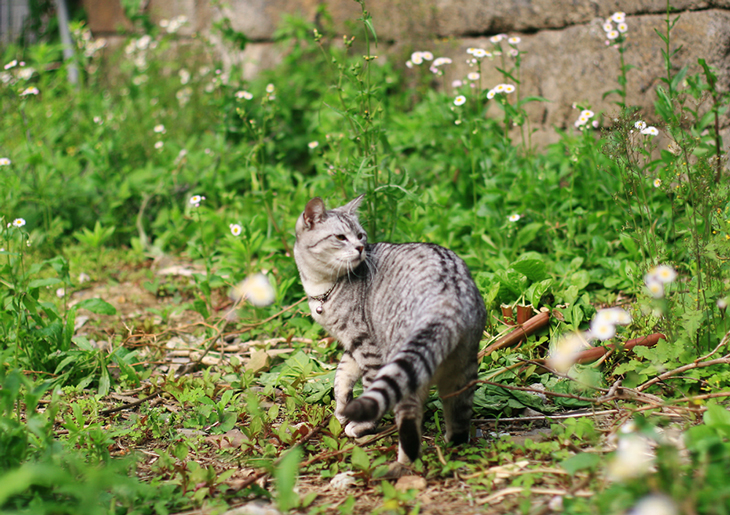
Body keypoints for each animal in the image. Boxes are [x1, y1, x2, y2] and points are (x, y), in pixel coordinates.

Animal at [290, 197, 484, 464]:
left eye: (360, 235)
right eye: (340, 237)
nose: (361, 248)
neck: (321, 288)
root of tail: (447, 299)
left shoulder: (366, 343)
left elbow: (366, 386)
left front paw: (361, 424)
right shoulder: (353, 344)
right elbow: (341, 377)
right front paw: (342, 410)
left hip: (404, 363)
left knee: (408, 418)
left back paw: (403, 463)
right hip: (461, 372)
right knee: (460, 420)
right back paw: (452, 449)